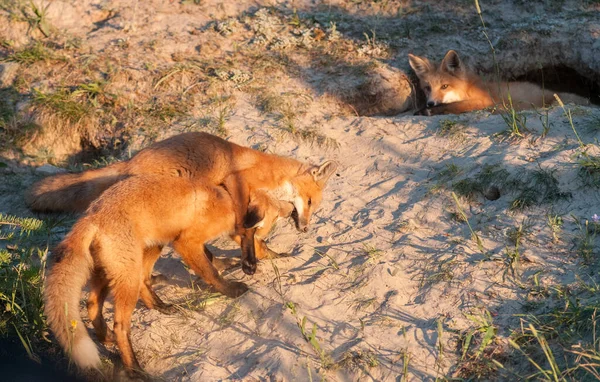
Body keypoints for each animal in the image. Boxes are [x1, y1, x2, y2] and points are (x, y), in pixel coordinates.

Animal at [43, 175, 292, 378]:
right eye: (259, 230)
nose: (251, 267)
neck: (228, 200)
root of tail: (91, 215)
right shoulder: (186, 242)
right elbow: (210, 271)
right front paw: (231, 290)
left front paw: (277, 255)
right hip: (129, 273)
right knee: (121, 324)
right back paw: (134, 368)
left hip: (132, 260)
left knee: (98, 301)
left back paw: (137, 320)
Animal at [408, 49, 592, 115]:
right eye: (427, 88)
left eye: (444, 86)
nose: (430, 103)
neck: (467, 89)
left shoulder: (485, 101)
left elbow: (453, 106)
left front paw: (428, 111)